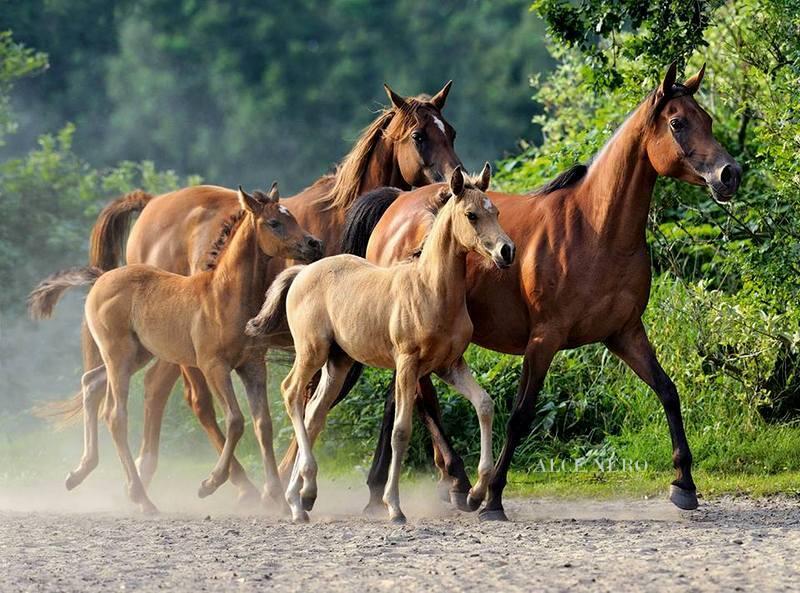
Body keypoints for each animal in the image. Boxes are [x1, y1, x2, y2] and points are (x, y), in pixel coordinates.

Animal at [36, 81, 462, 502]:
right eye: (419, 136)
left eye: (452, 132)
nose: (451, 184)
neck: (345, 218)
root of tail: (152, 203)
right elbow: (363, 397)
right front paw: (452, 476)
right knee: (186, 399)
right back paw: (226, 482)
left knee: (152, 391)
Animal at [247, 164, 516, 520]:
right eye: (471, 215)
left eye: (496, 211)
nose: (506, 251)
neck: (431, 289)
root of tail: (301, 274)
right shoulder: (407, 364)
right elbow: (401, 431)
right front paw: (394, 506)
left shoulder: (449, 365)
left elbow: (484, 404)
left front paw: (475, 493)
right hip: (312, 352)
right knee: (292, 393)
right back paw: (300, 492)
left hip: (338, 362)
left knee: (314, 413)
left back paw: (300, 498)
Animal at [300, 62, 744, 520]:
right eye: (677, 123)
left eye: (707, 119)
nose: (730, 174)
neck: (596, 229)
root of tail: (394, 204)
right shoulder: (544, 339)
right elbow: (520, 415)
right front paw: (493, 497)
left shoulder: (625, 333)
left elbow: (668, 391)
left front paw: (684, 484)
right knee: (422, 400)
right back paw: (456, 483)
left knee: (406, 399)